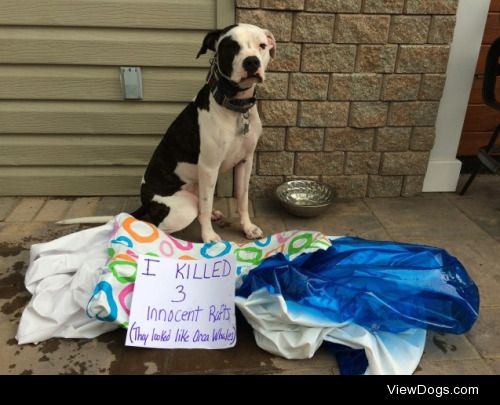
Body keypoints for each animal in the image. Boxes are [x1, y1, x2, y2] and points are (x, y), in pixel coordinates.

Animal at [61, 24, 278, 243]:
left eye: (262, 45)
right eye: (231, 47)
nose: (252, 61)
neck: (235, 106)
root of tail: (146, 202)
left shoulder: (245, 161)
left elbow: (242, 198)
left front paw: (248, 227)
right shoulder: (209, 167)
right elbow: (206, 206)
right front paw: (209, 236)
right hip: (184, 208)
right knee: (161, 223)